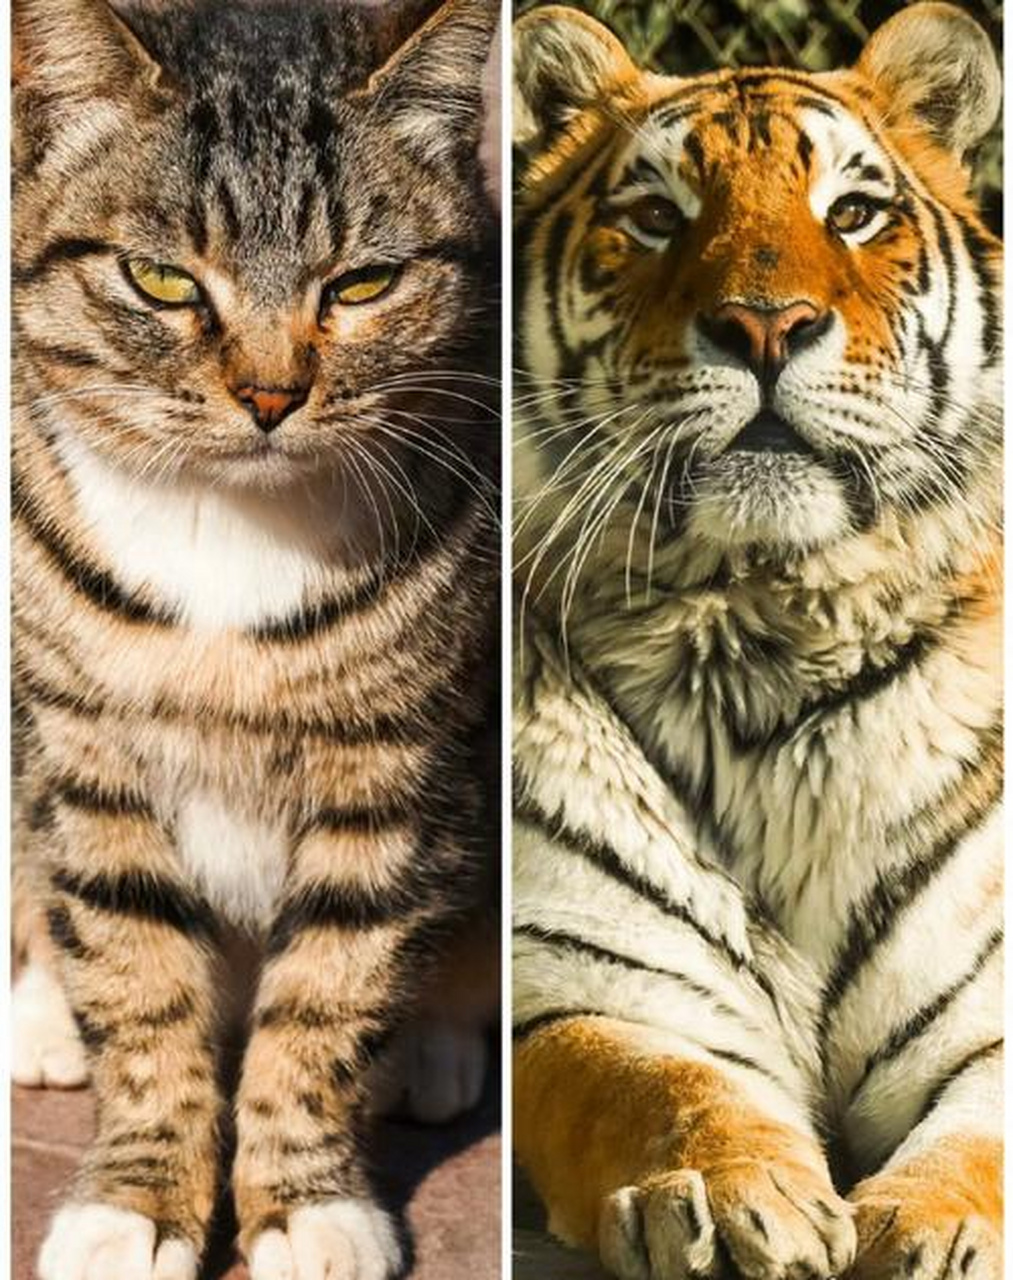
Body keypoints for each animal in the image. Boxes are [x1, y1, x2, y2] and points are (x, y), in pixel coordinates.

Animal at [511, 5, 1003, 1279]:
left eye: (853, 212)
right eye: (654, 216)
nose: (765, 326)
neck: (762, 628)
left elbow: (978, 1130)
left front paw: (931, 1225)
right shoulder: (598, 988)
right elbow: (655, 1084)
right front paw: (726, 1199)